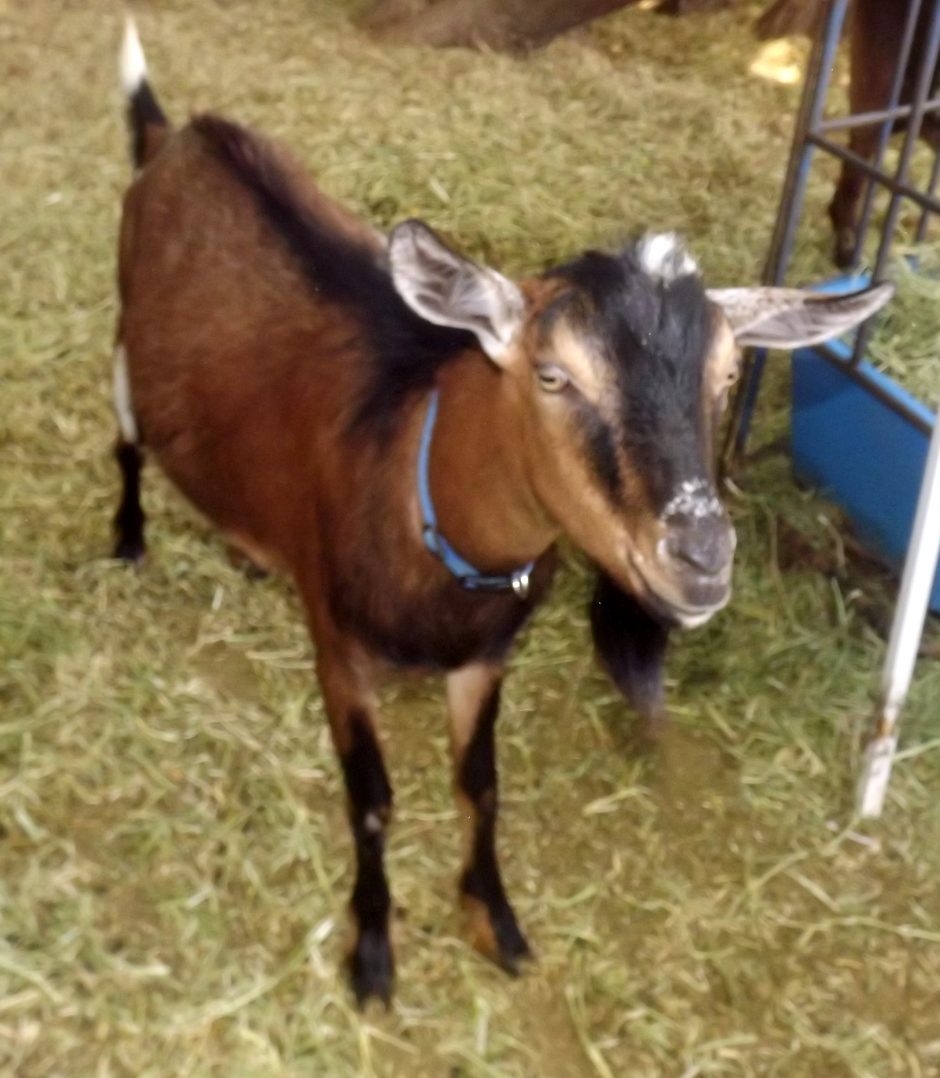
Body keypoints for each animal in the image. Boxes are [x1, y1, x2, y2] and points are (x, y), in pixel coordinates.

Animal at [112, 19, 891, 1004]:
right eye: (553, 376)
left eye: (725, 377)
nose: (701, 555)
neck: (419, 488)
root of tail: (176, 135)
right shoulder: (339, 650)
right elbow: (372, 800)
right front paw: (374, 955)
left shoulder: (486, 657)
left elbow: (479, 784)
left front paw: (496, 920)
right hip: (123, 345)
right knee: (125, 443)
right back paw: (127, 538)